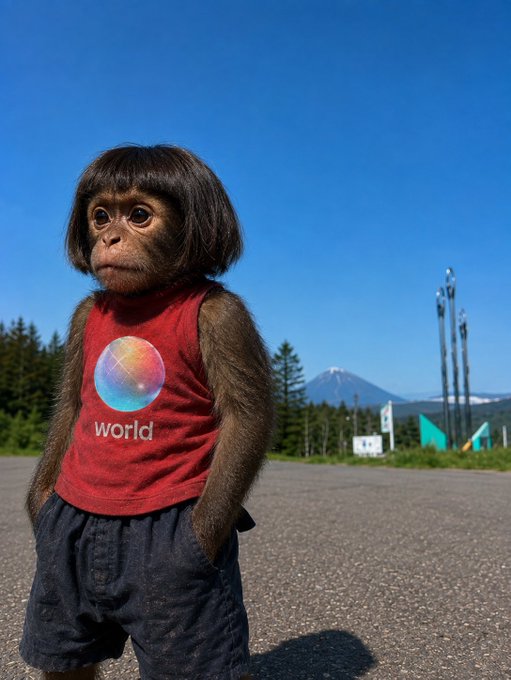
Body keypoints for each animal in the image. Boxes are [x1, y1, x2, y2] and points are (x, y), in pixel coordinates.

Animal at [20, 145, 274, 680]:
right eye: (99, 216)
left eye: (139, 215)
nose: (109, 237)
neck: (150, 296)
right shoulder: (80, 320)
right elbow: (72, 402)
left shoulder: (225, 317)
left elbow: (247, 413)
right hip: (60, 586)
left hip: (182, 604)